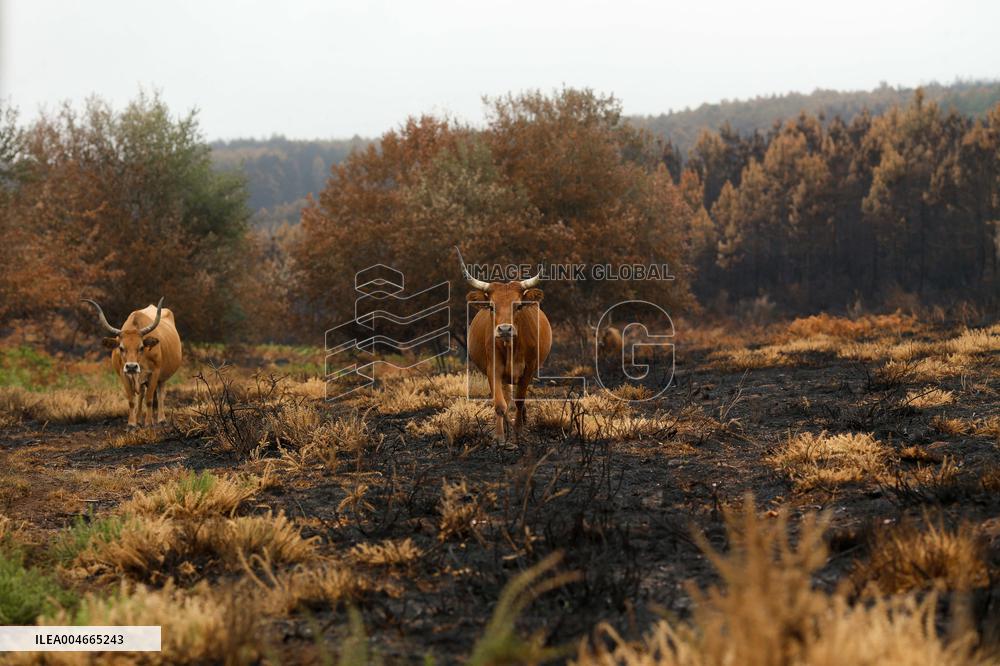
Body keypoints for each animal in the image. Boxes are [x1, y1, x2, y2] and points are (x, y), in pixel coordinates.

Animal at [81, 298, 183, 429]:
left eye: (141, 347)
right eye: (121, 347)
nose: (131, 366)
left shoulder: (155, 373)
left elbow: (149, 399)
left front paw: (148, 422)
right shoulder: (123, 374)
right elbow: (131, 400)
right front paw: (131, 424)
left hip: (162, 377)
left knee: (160, 395)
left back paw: (161, 419)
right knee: (141, 395)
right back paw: (138, 419)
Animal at [457, 247, 552, 443]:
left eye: (519, 306)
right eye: (492, 307)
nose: (505, 329)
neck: (511, 348)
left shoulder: (528, 369)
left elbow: (520, 400)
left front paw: (518, 432)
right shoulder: (493, 369)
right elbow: (500, 404)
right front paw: (500, 436)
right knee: (506, 398)